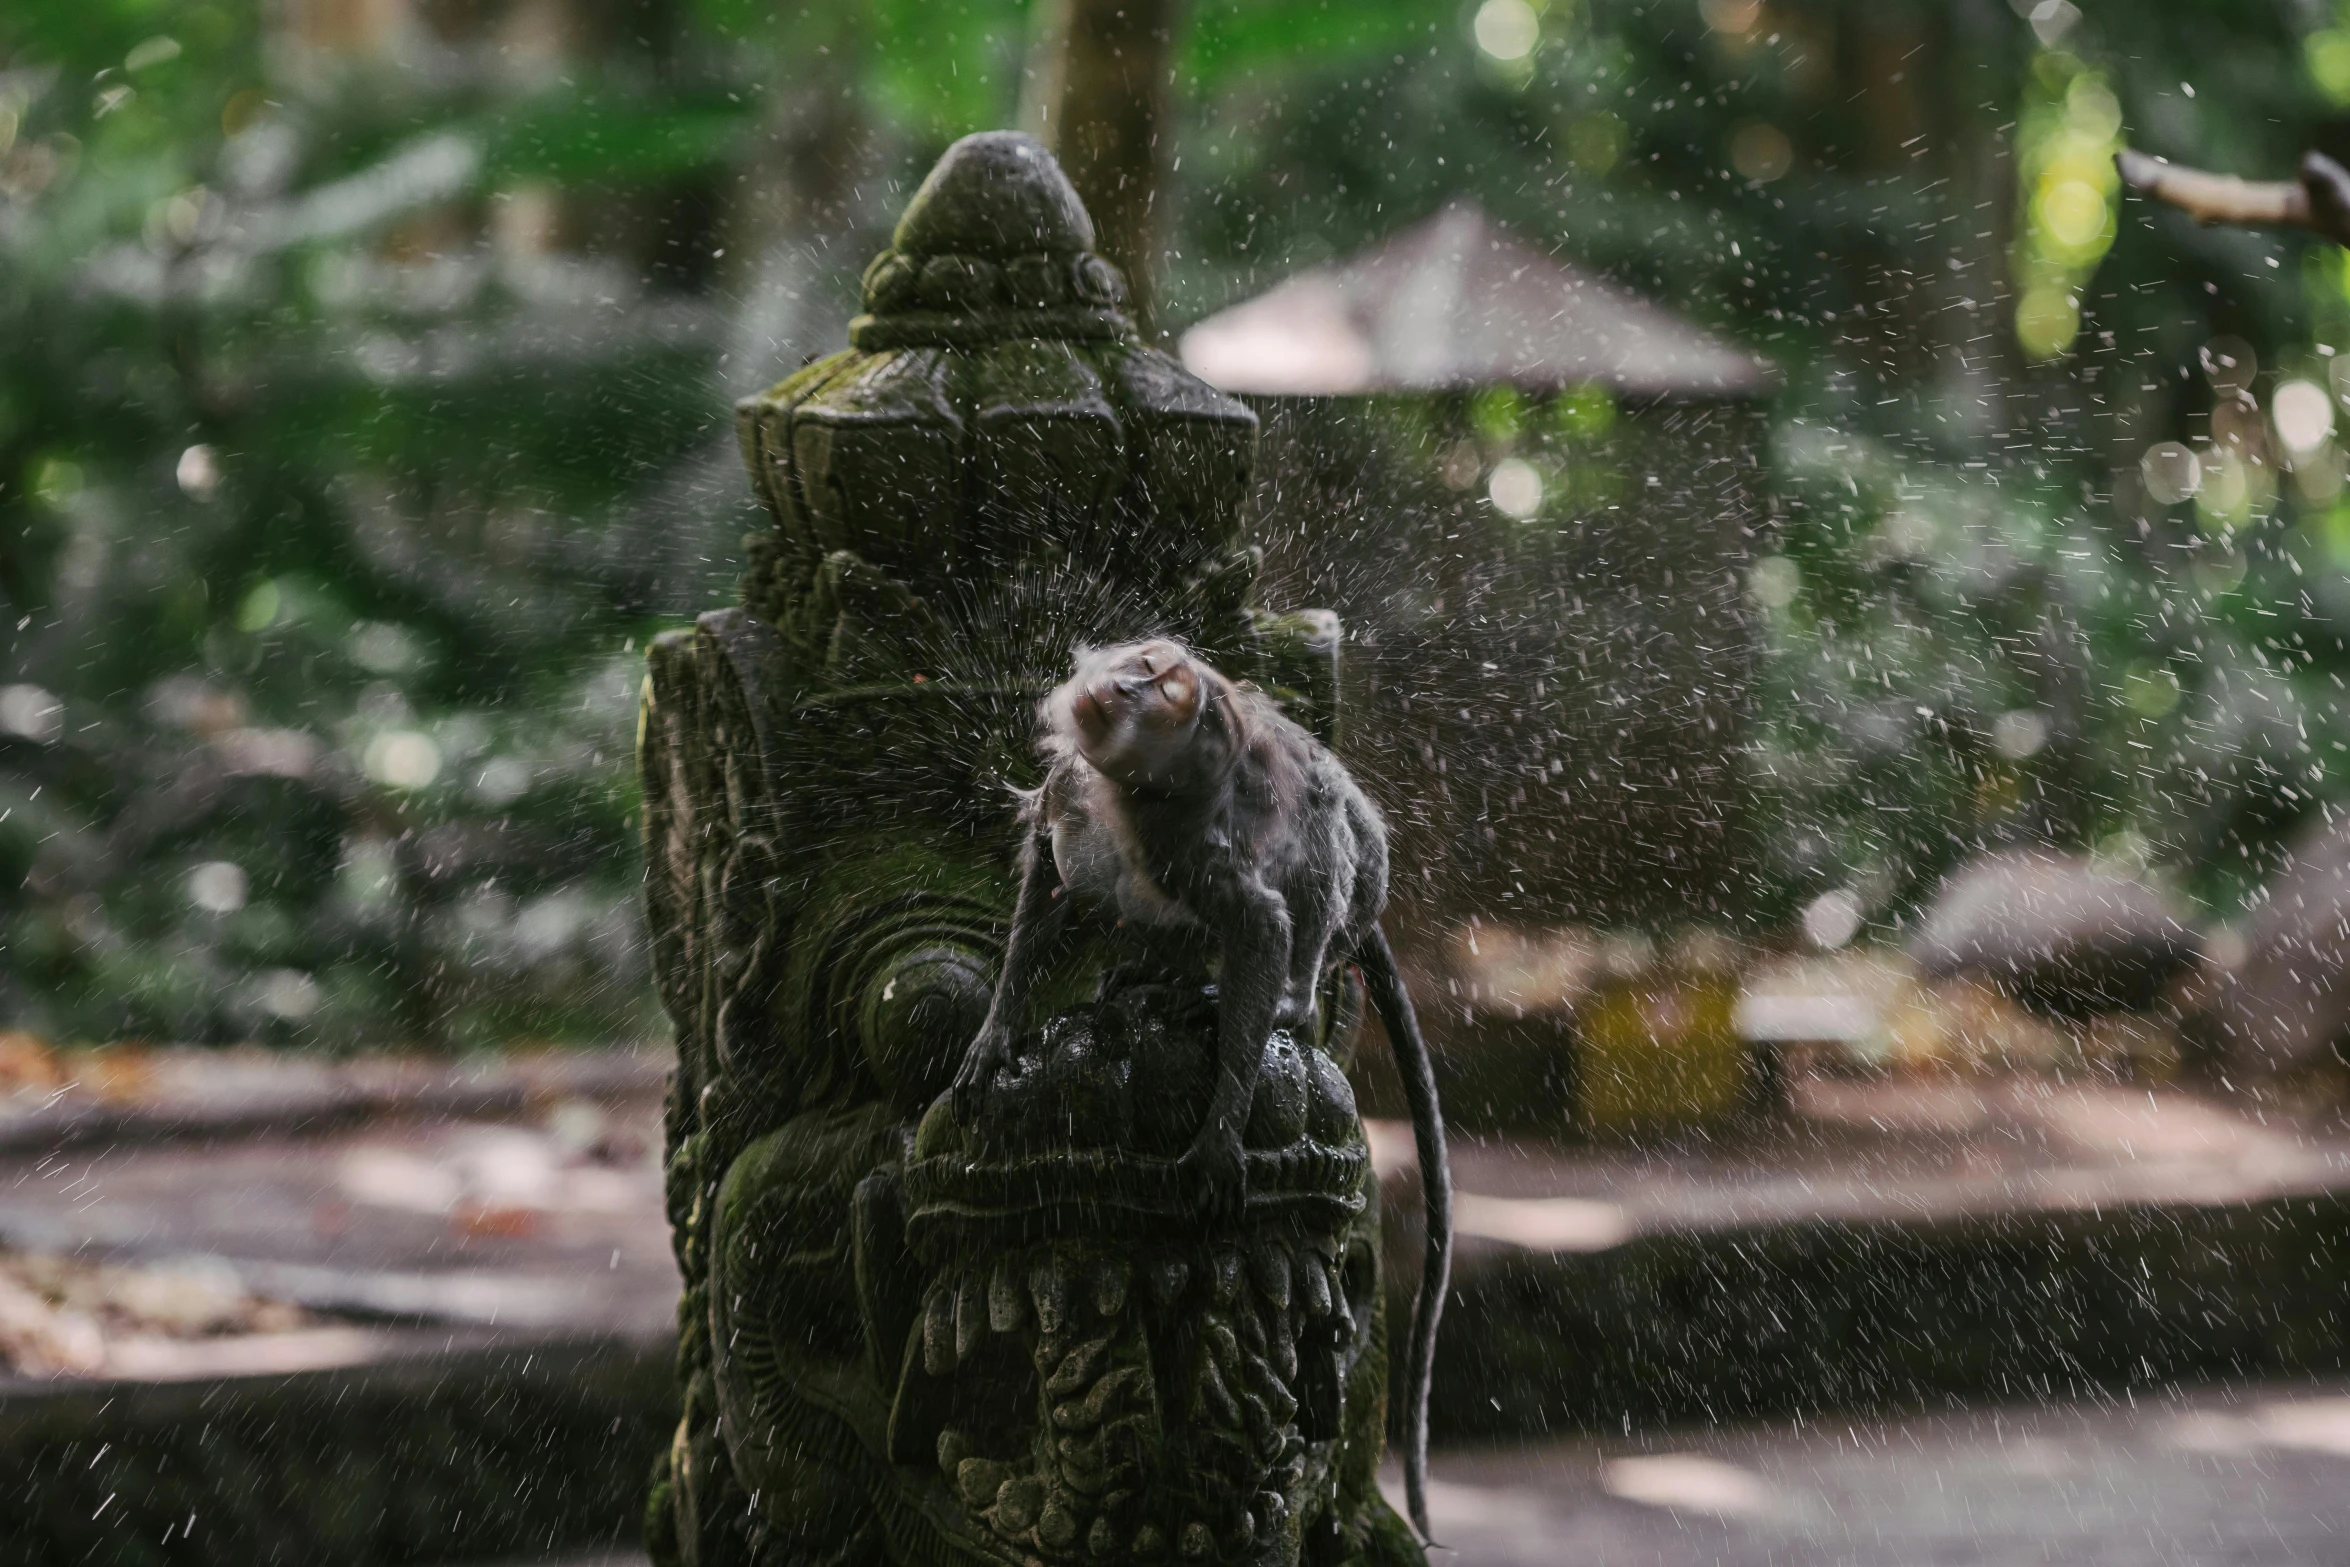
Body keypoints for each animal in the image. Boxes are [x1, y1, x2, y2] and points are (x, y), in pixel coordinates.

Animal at [954, 639, 1447, 1541]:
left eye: (1166, 683)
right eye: (1145, 664)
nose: (1140, 677)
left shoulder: (1176, 836)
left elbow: (1260, 919)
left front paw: (1221, 1129)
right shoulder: (1083, 789)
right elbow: (1049, 877)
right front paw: (996, 1030)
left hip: (1355, 885)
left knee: (1318, 850)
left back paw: (1274, 999)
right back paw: (1151, 977)